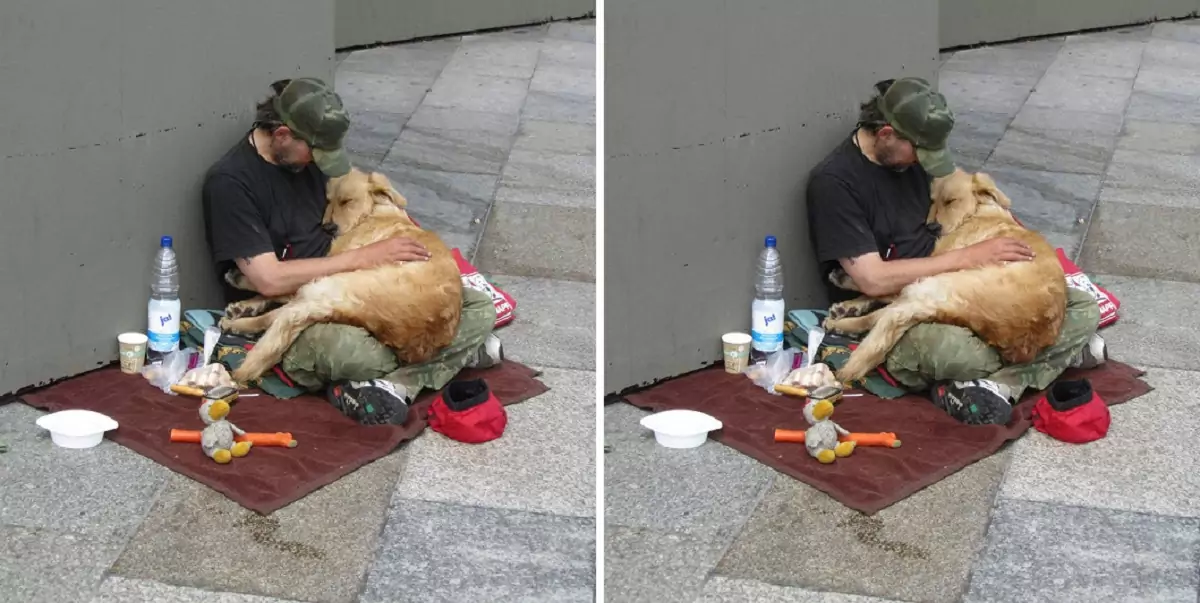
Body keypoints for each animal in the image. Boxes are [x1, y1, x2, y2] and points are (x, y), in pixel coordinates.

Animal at [220, 166, 463, 384]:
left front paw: (244, 290)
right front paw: (248, 303)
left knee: (281, 314)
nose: (328, 227)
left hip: (333, 283)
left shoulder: (335, 259)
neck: (374, 210)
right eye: (329, 201)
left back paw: (237, 321)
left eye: (347, 201)